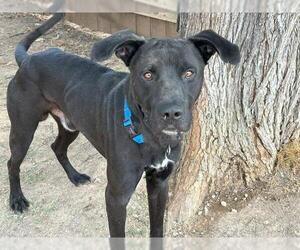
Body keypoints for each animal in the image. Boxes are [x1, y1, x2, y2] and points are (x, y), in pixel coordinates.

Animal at [7, 14, 240, 237]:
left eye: (189, 73)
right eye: (147, 74)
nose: (171, 113)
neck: (151, 138)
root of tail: (28, 59)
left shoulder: (159, 184)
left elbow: (157, 229)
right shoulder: (116, 197)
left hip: (71, 125)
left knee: (57, 147)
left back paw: (75, 176)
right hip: (23, 129)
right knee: (13, 162)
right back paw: (17, 200)